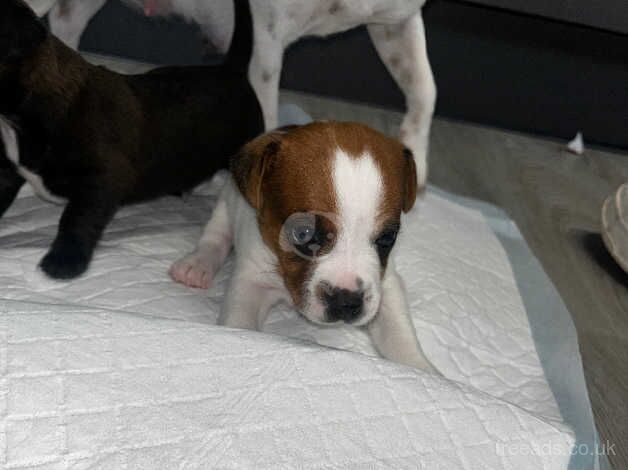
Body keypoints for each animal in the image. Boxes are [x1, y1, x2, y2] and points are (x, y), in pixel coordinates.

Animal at [169, 122, 440, 374]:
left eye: (387, 238)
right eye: (303, 233)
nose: (346, 301)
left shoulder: (386, 285)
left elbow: (400, 335)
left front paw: (425, 371)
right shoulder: (250, 283)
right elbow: (241, 324)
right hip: (226, 203)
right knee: (215, 236)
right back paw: (197, 265)